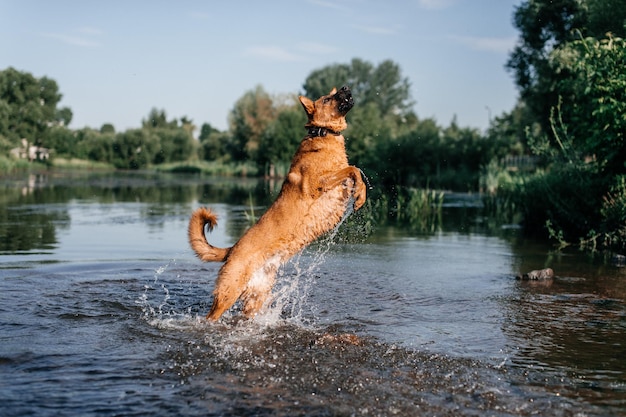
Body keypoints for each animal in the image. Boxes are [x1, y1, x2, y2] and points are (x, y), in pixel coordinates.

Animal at [189, 86, 366, 320]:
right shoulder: (317, 184)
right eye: (328, 98)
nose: (346, 87)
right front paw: (360, 195)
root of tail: (232, 249)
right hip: (228, 293)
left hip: (256, 297)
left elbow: (356, 173)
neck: (323, 134)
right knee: (211, 316)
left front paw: (361, 195)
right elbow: (353, 169)